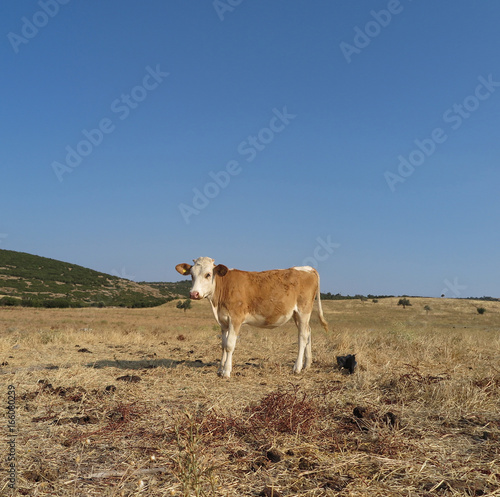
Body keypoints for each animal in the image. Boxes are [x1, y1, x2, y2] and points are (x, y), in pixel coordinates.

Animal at [176, 258, 328, 378]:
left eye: (208, 274)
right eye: (191, 275)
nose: (194, 293)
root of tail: (307, 268)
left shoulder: (235, 319)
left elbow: (230, 345)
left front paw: (226, 371)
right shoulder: (223, 321)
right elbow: (223, 345)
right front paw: (220, 369)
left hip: (303, 310)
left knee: (302, 336)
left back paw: (297, 368)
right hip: (297, 314)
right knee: (308, 332)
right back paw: (307, 364)